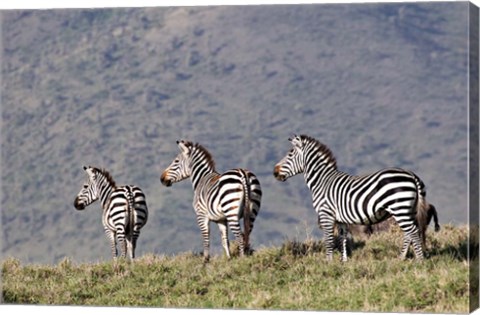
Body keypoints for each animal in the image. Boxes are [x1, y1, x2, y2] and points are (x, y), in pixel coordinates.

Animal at [274, 135, 432, 262]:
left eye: (290, 154)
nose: (274, 172)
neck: (322, 181)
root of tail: (412, 175)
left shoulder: (326, 214)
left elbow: (329, 240)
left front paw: (328, 262)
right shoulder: (340, 219)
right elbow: (343, 239)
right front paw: (343, 261)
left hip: (400, 208)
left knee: (412, 232)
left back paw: (419, 260)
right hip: (408, 209)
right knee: (410, 232)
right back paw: (401, 258)